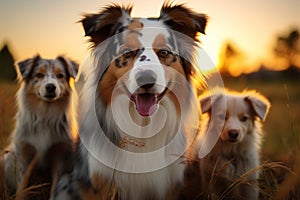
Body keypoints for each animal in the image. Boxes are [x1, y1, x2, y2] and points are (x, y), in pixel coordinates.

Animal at [4, 54, 78, 198]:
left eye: (60, 75)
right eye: (39, 75)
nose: (50, 87)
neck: (45, 114)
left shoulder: (60, 155)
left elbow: (55, 187)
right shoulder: (24, 154)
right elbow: (23, 186)